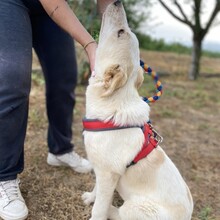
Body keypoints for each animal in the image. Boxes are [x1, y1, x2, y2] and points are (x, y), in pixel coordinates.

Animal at [81, 0, 193, 219]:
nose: (117, 2)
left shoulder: (108, 174)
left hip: (135, 208)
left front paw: (97, 208)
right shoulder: (101, 171)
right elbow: (96, 190)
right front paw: (90, 197)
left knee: (119, 212)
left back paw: (111, 208)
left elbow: (99, 208)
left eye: (120, 32)